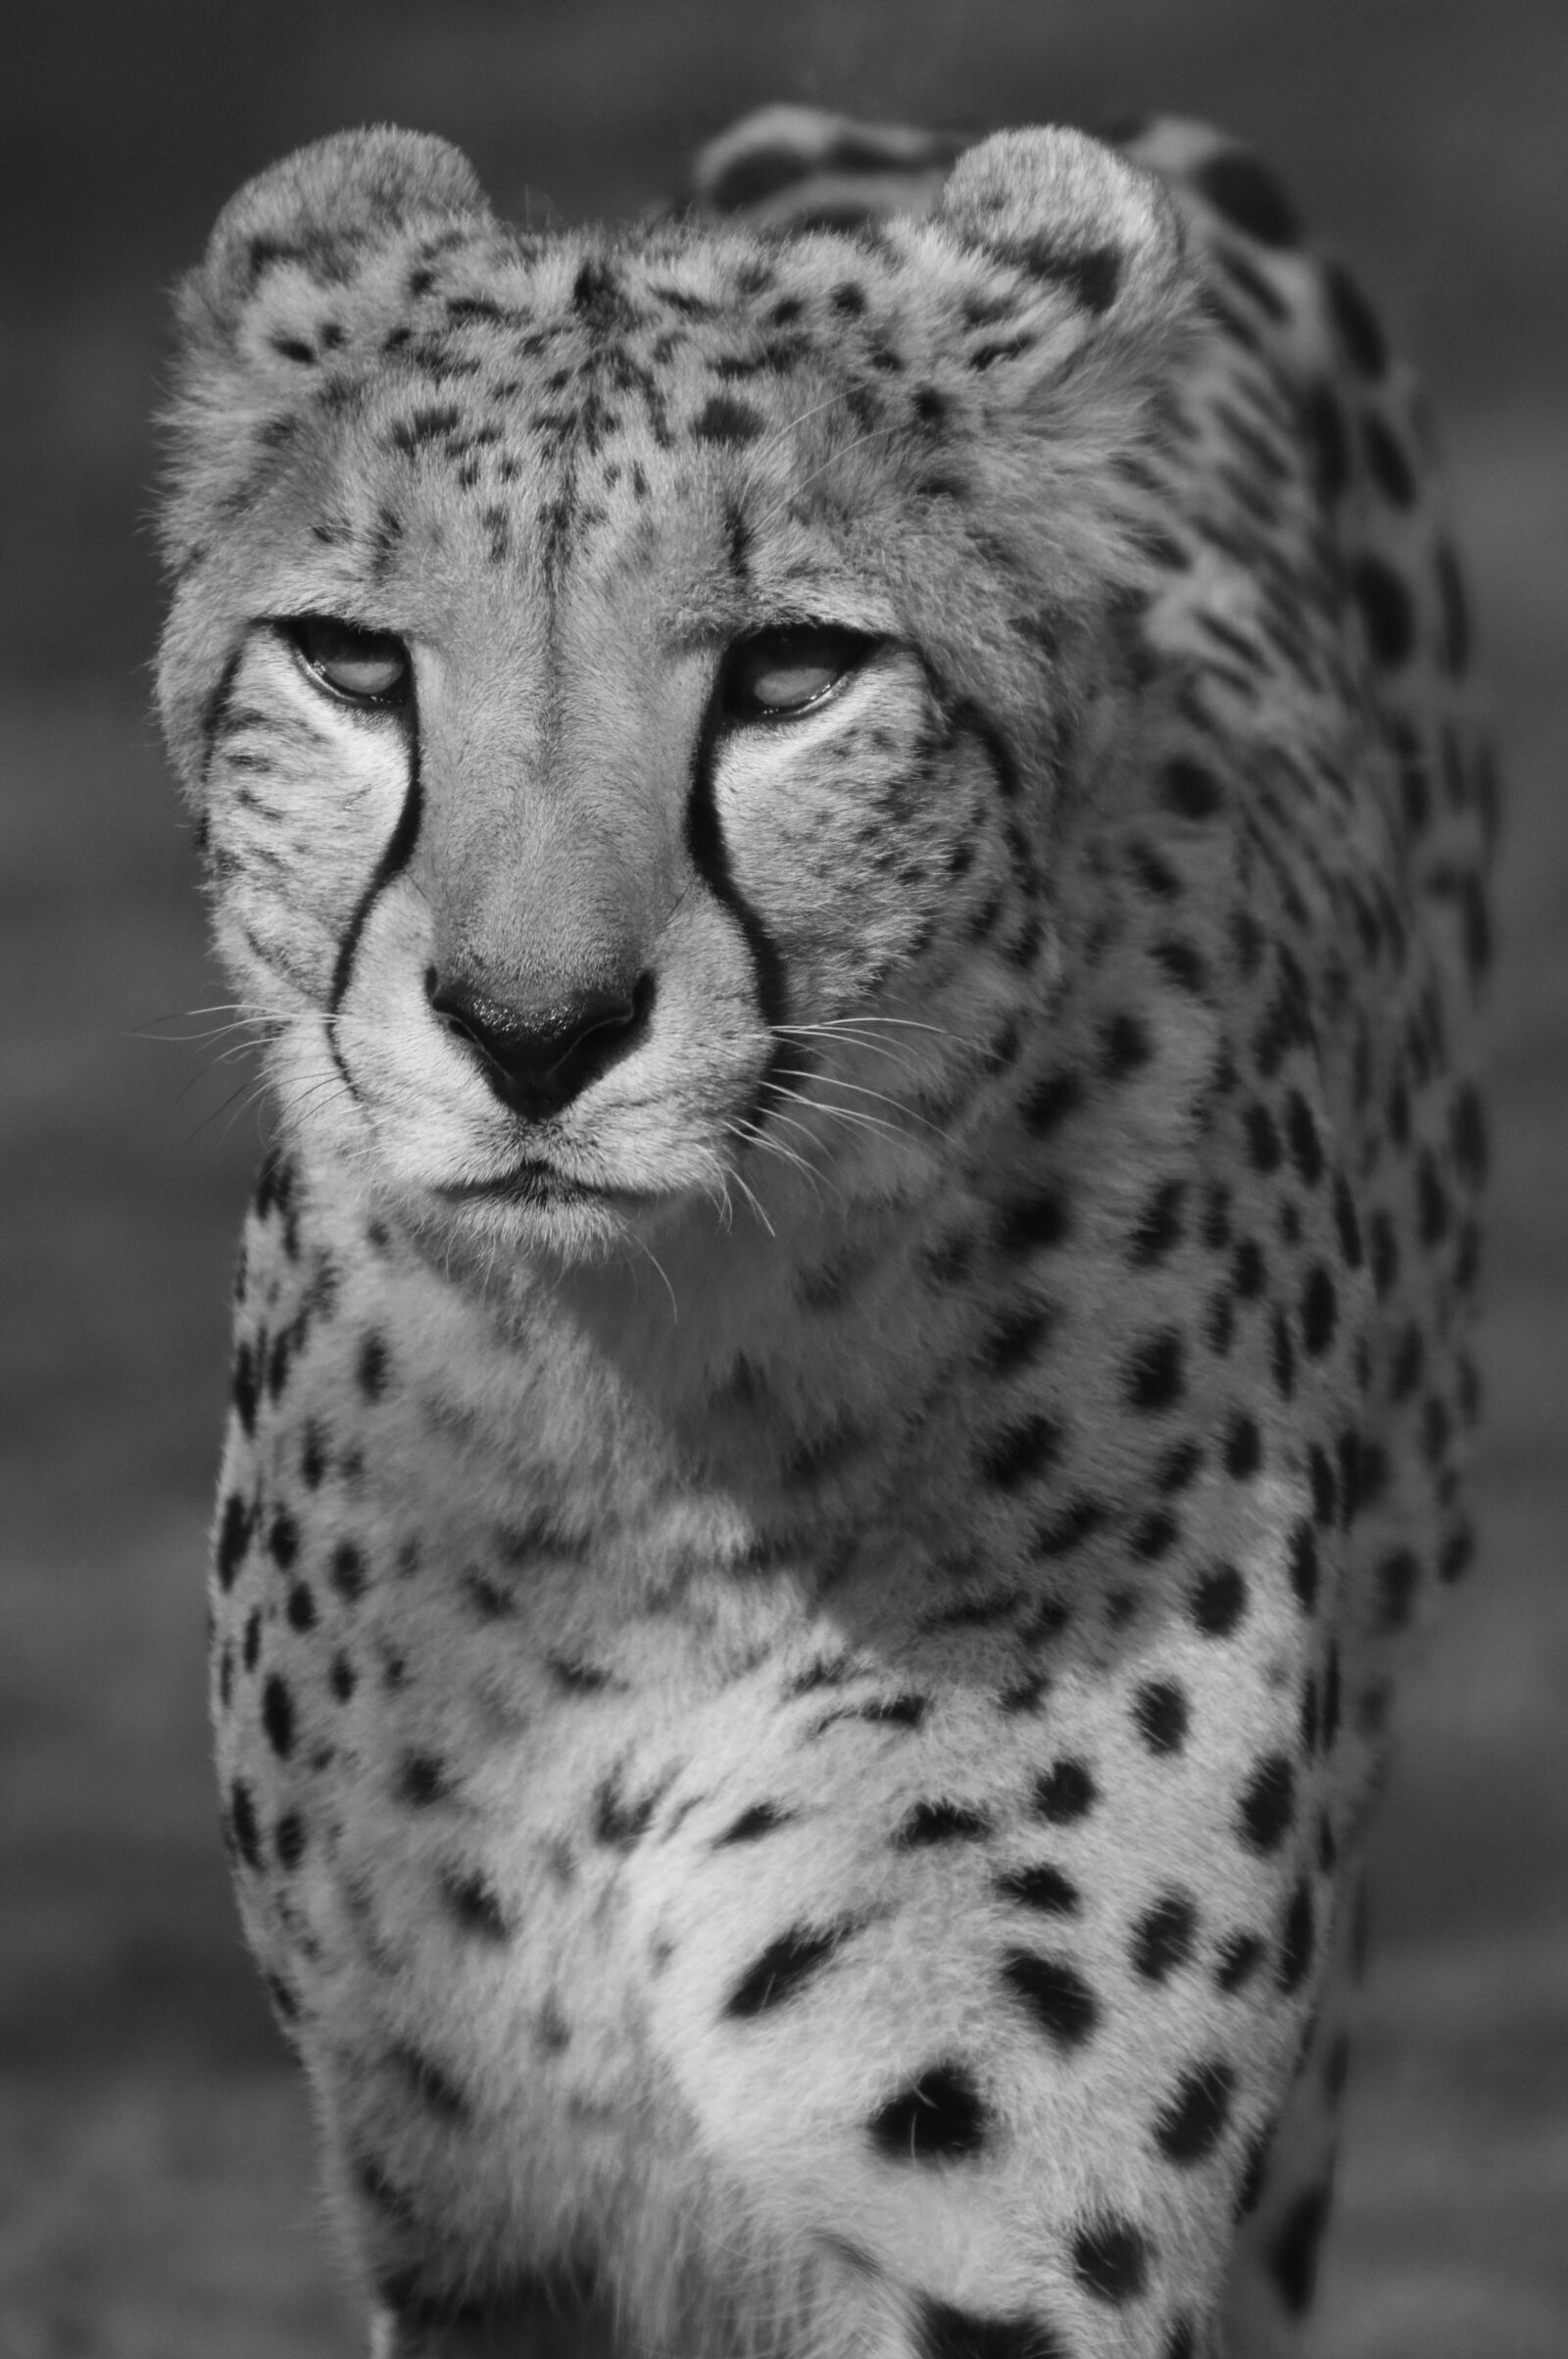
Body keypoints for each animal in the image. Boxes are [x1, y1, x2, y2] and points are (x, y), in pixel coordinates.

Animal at [155, 97, 1496, 2359]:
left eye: (794, 671)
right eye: (350, 662)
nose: (533, 1029)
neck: (639, 1411)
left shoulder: (1007, 2236)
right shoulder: (481, 2214)